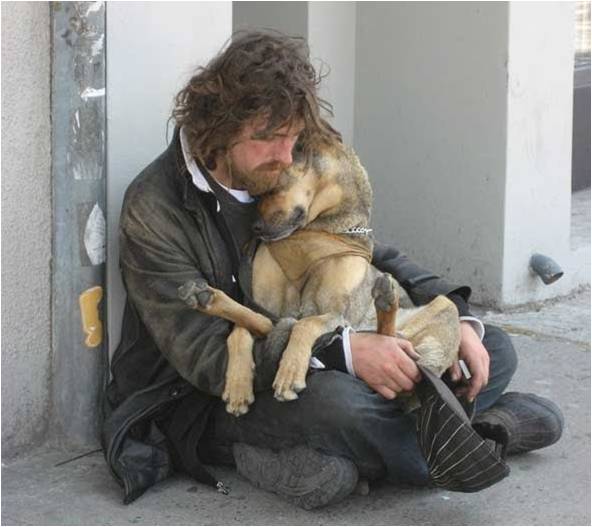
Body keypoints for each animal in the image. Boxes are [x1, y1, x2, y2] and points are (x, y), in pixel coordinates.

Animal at [179, 137, 460, 416]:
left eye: (272, 187)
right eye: (255, 193)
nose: (254, 228)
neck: (315, 233)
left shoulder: (336, 314)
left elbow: (306, 324)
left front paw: (290, 372)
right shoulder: (262, 304)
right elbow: (240, 331)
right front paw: (238, 384)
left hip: (441, 309)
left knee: (391, 343)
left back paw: (386, 298)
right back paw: (207, 298)